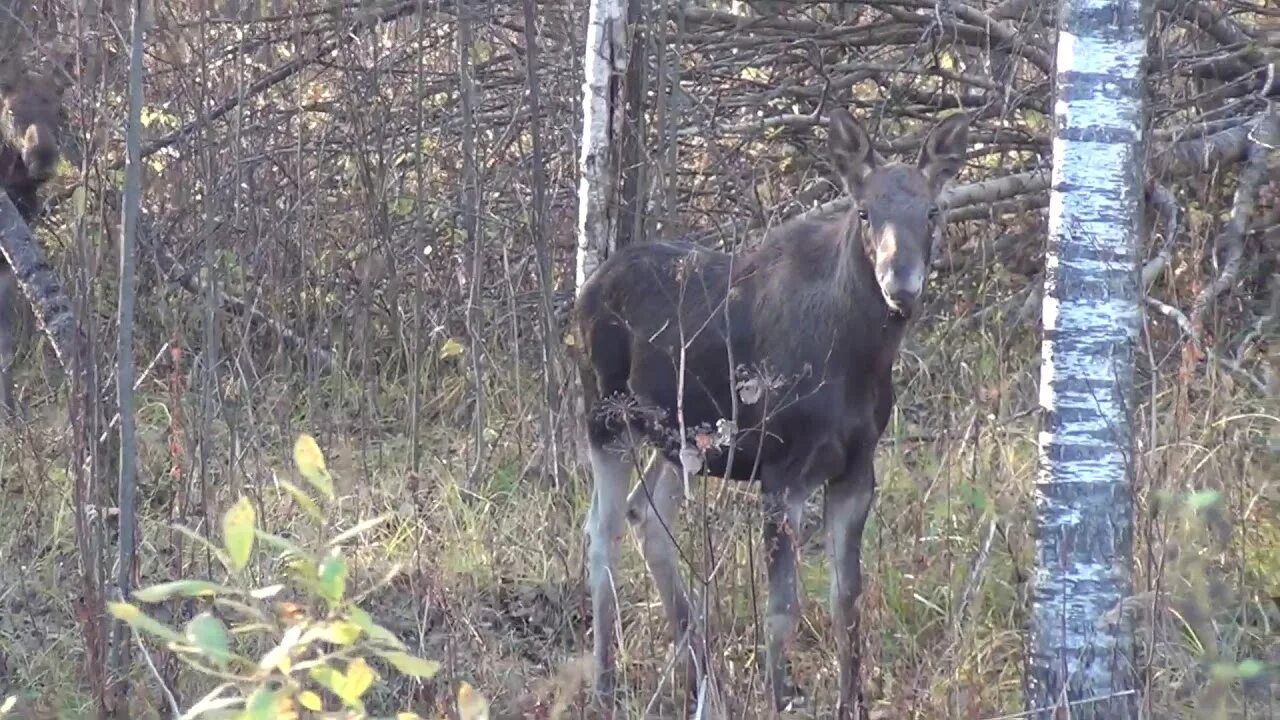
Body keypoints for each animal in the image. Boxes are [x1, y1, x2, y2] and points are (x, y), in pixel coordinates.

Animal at [573, 105, 967, 712]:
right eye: (864, 211)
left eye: (932, 210)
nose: (901, 286)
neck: (856, 362)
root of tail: (587, 288)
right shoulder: (781, 473)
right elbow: (783, 611)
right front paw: (780, 697)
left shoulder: (856, 470)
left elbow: (847, 600)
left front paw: (851, 702)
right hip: (606, 419)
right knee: (601, 533)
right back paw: (605, 686)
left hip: (679, 441)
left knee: (649, 517)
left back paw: (703, 682)